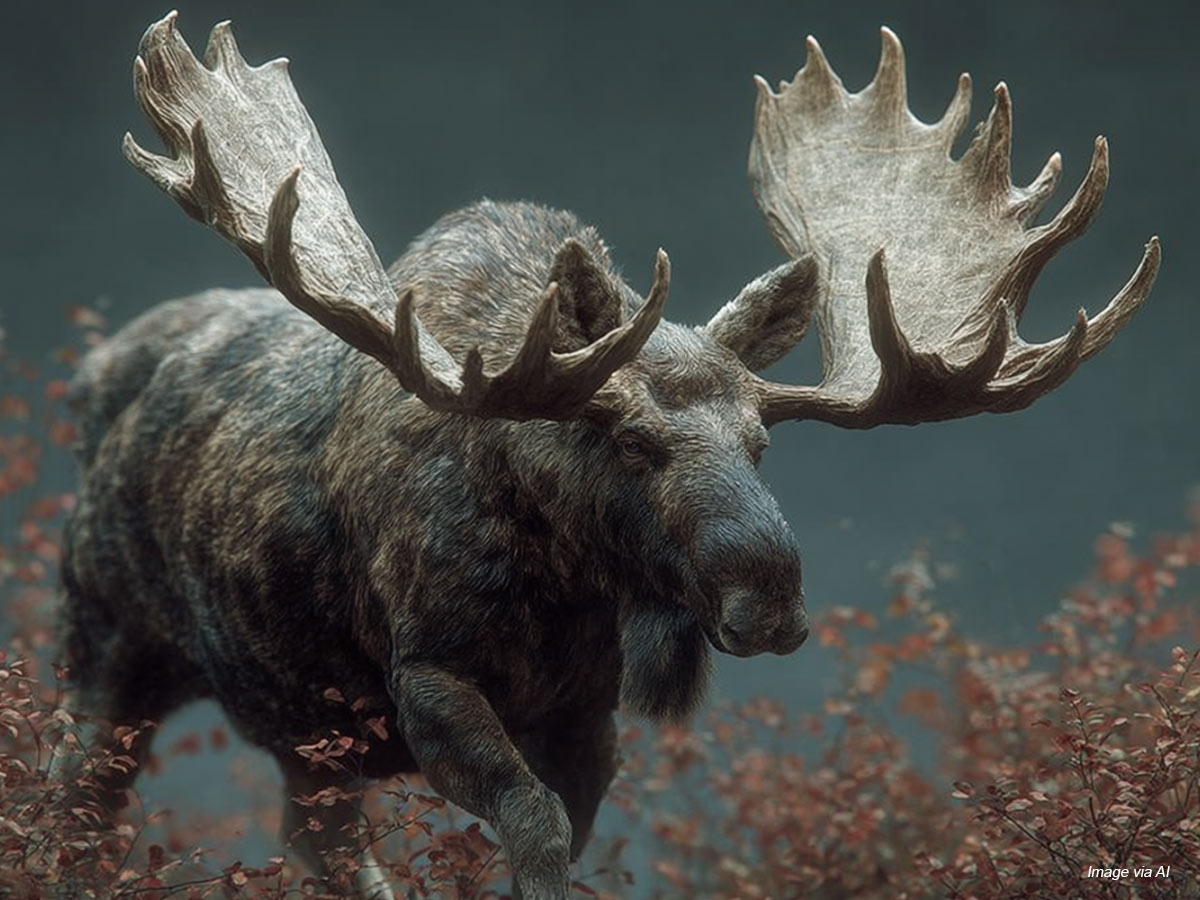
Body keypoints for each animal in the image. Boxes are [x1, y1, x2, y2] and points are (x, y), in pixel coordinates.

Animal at [58, 11, 1159, 899]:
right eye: (631, 439)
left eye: (762, 442)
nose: (773, 601)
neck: (560, 588)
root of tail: (96, 376)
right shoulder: (426, 677)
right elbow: (534, 827)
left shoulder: (585, 715)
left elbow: (559, 836)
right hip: (105, 651)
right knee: (79, 814)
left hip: (304, 740)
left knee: (315, 843)